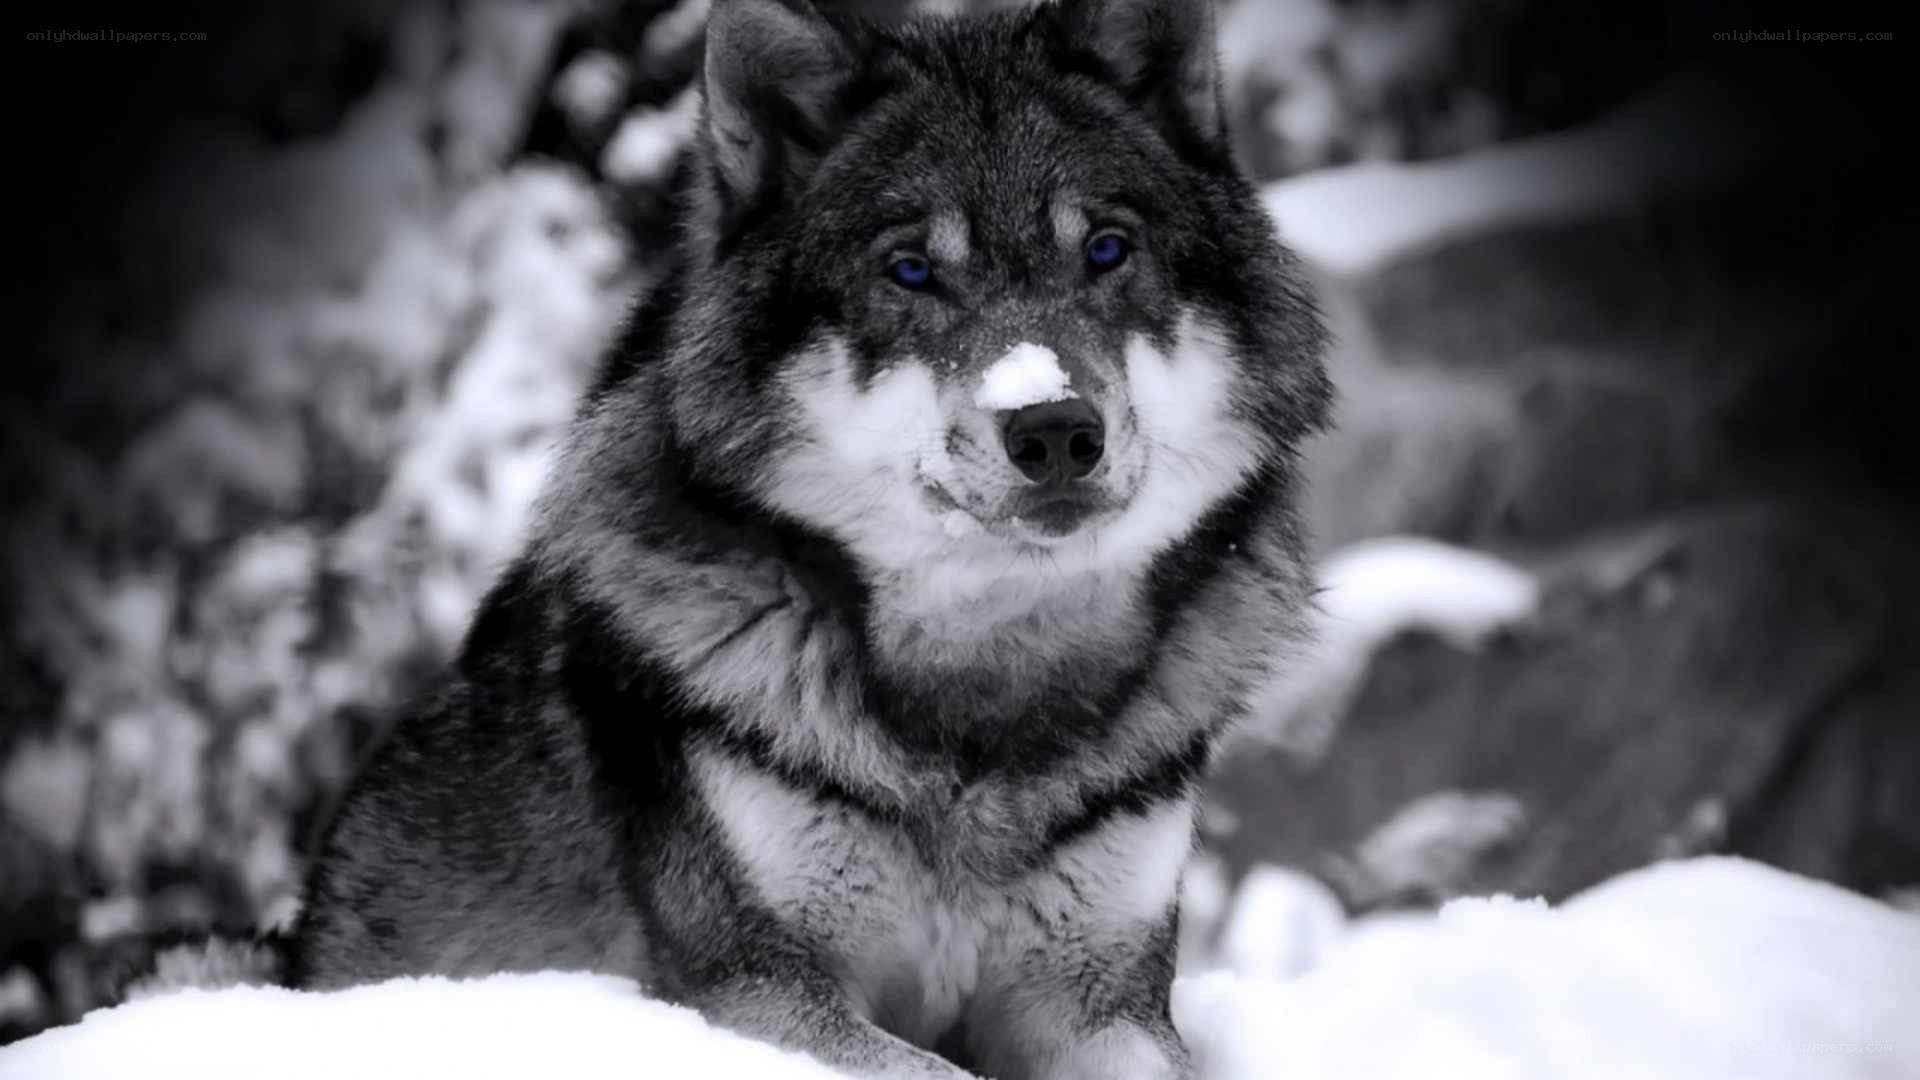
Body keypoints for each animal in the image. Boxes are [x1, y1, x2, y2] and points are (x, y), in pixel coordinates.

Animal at [287, 1, 1330, 1077]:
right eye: (911, 271)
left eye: (1109, 251)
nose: (1052, 429)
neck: (982, 701)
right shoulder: (755, 990)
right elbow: (933, 1069)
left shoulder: (1104, 1000)